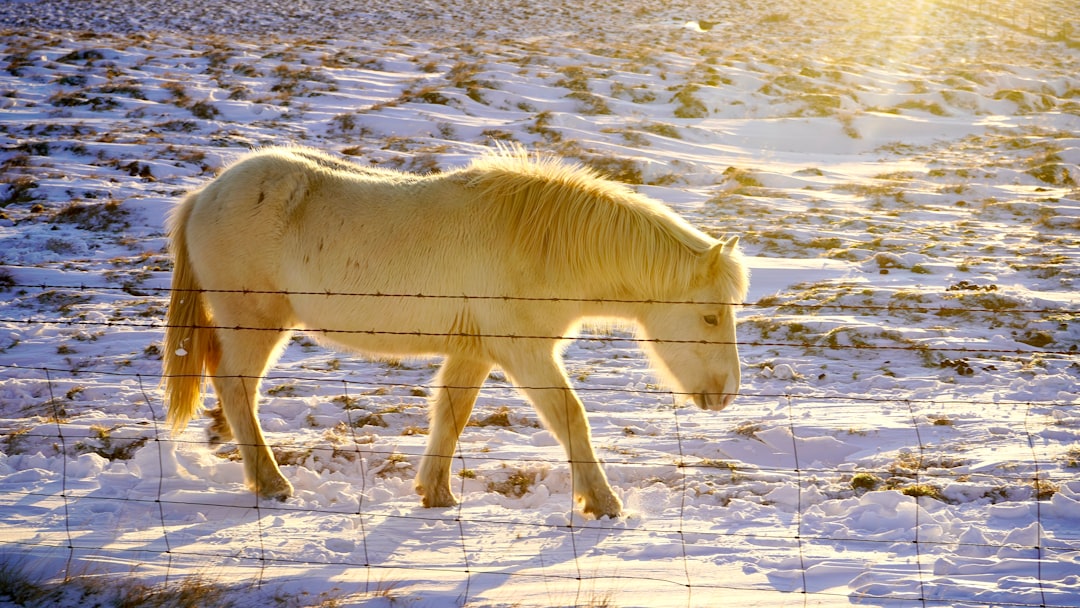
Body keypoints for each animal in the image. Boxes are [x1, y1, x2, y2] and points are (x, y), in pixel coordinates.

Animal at [162, 143, 751, 518]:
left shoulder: (475, 352)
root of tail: (204, 195)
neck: (540, 244)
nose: (726, 393)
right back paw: (271, 482)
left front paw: (436, 494)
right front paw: (602, 503)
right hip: (256, 323)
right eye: (710, 316)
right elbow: (570, 418)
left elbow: (451, 414)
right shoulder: (526, 354)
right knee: (237, 387)